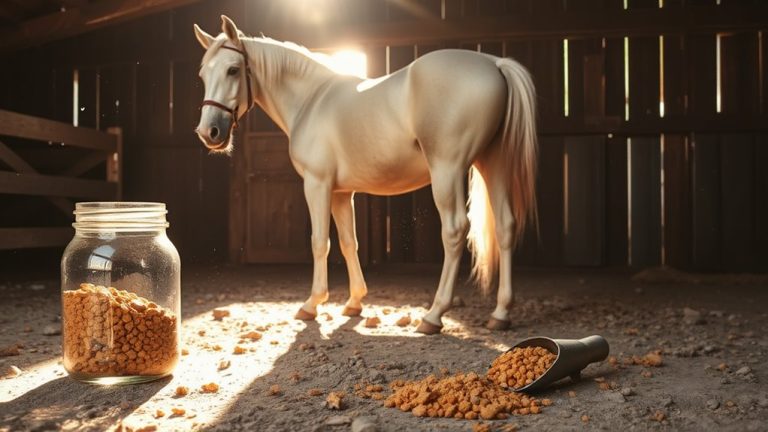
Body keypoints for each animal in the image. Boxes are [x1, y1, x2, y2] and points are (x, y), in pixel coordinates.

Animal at [194, 16, 538, 334]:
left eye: (233, 70)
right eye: (203, 74)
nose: (209, 133)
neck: (311, 101)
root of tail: (495, 63)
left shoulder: (317, 185)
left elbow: (320, 242)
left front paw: (311, 304)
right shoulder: (341, 193)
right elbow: (349, 243)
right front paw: (354, 302)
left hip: (447, 170)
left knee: (454, 231)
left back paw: (433, 316)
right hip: (493, 163)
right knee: (506, 226)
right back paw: (500, 314)